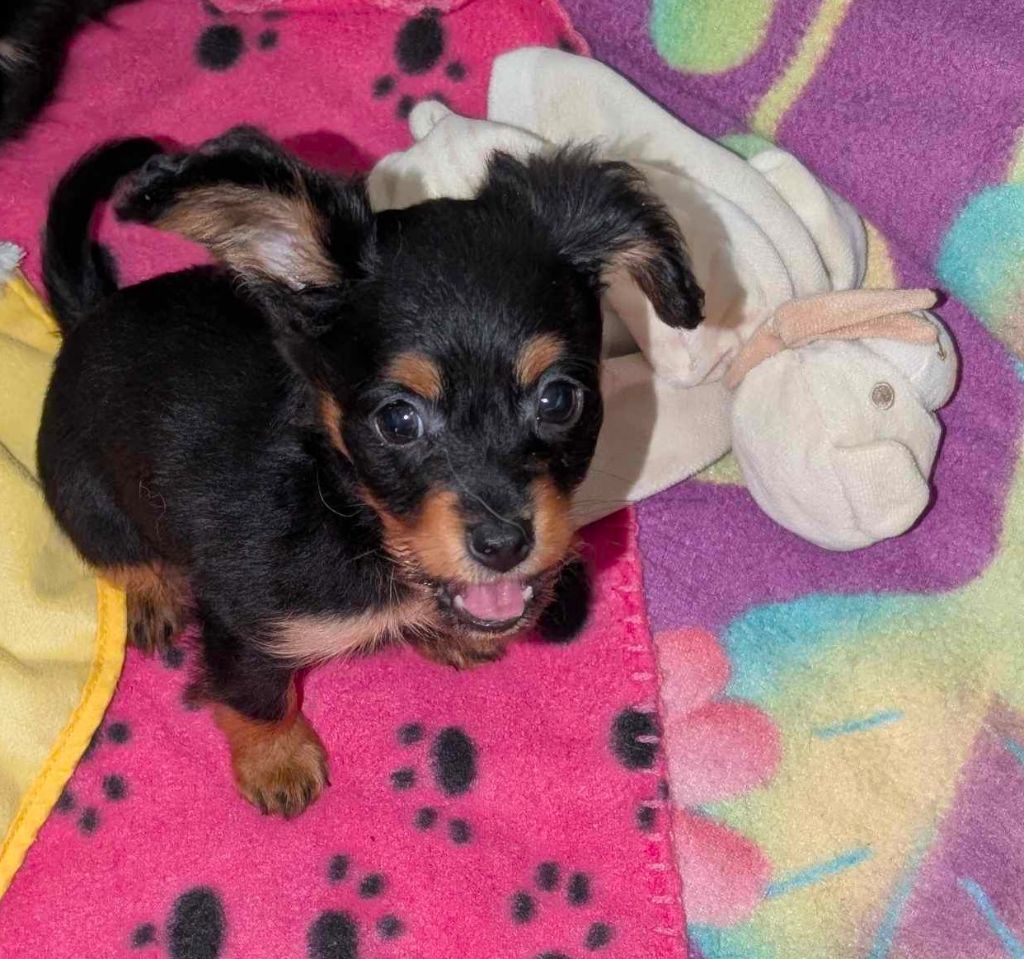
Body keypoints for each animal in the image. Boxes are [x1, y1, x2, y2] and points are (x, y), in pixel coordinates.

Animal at [38, 127, 704, 817]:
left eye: (558, 400)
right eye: (399, 420)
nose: (503, 545)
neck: (345, 506)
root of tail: (90, 313)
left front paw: (449, 633)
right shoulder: (240, 615)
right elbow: (254, 695)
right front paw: (278, 765)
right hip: (89, 497)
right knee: (116, 554)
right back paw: (150, 594)